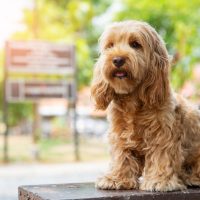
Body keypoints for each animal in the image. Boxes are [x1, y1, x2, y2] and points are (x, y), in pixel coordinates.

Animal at [90, 20, 200, 192]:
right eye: (110, 45)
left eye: (135, 44)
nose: (117, 59)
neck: (133, 102)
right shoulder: (119, 133)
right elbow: (121, 155)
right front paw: (116, 178)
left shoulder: (163, 134)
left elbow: (161, 156)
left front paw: (159, 181)